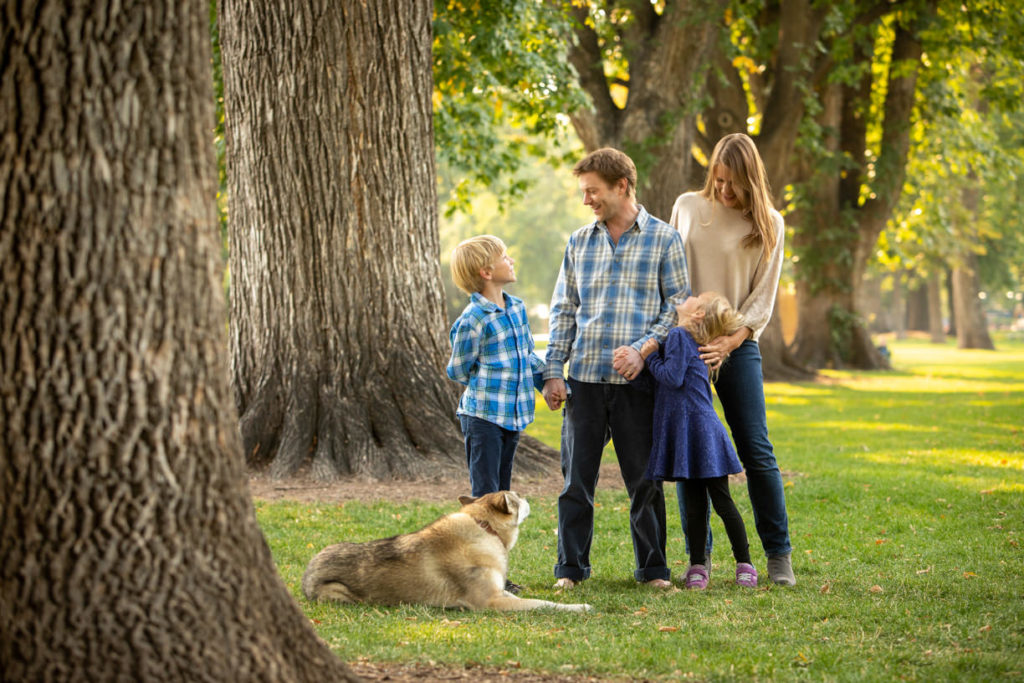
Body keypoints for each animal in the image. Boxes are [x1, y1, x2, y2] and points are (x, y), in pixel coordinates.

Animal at [299, 491, 589, 614]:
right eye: (517, 498)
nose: (528, 497)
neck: (484, 529)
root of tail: (307, 572)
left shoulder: (498, 592)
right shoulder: (491, 602)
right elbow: (543, 604)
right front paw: (580, 607)